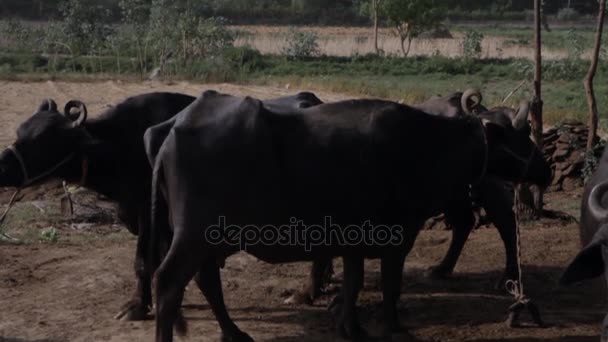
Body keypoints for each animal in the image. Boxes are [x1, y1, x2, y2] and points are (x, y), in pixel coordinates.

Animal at [0, 89, 324, 322]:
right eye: (20, 131)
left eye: (44, 140)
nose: (3, 165)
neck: (123, 145)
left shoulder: (149, 214)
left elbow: (144, 261)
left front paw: (137, 306)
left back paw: (308, 292)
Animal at [144, 90, 548, 342]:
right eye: (520, 134)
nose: (544, 169)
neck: (425, 144)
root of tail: (169, 136)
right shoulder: (398, 234)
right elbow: (389, 284)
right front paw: (393, 324)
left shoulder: (353, 240)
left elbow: (354, 283)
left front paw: (350, 326)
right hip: (195, 235)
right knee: (168, 282)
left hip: (207, 239)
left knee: (205, 280)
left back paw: (234, 332)